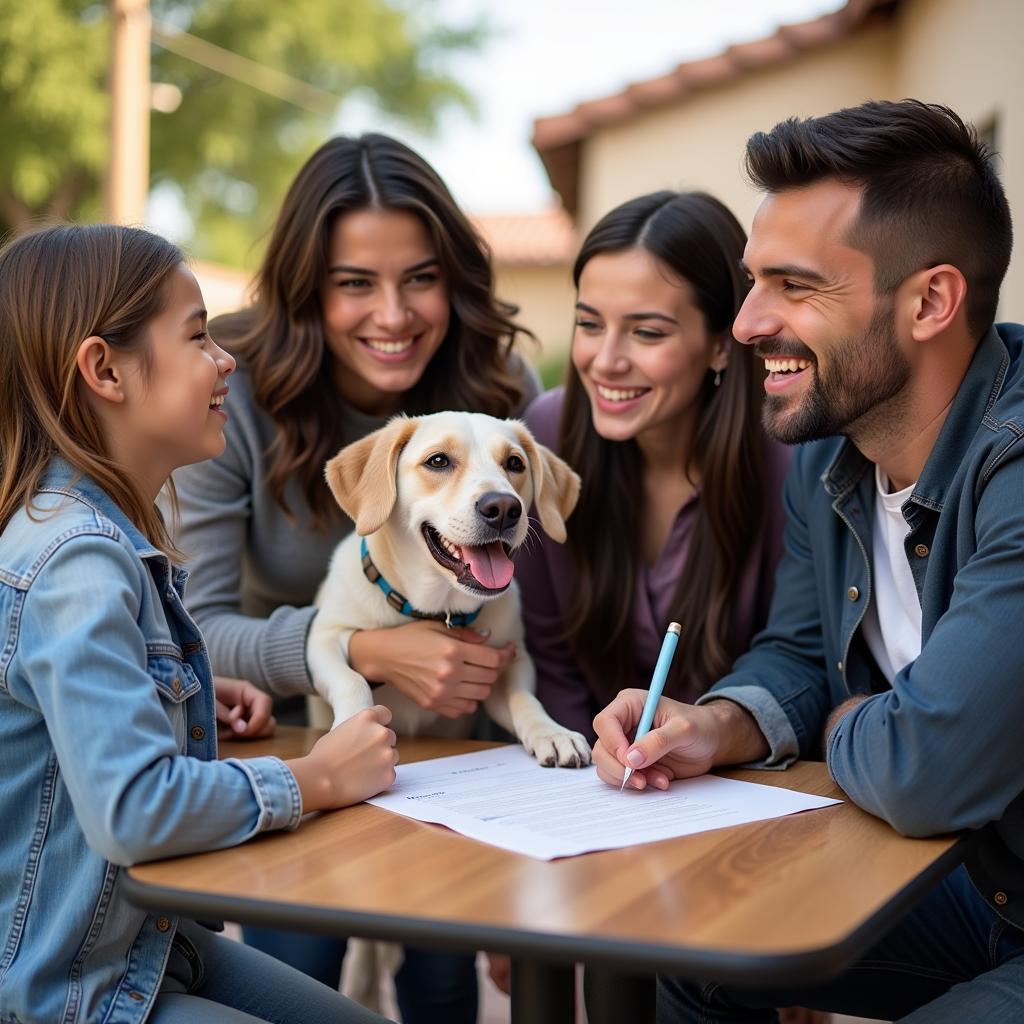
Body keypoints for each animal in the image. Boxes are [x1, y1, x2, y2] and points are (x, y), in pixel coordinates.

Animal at [303, 407, 593, 770]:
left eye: (514, 463)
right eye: (438, 460)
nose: (503, 508)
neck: (436, 608)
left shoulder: (508, 662)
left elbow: (524, 698)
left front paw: (552, 732)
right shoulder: (322, 639)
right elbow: (351, 681)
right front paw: (352, 735)